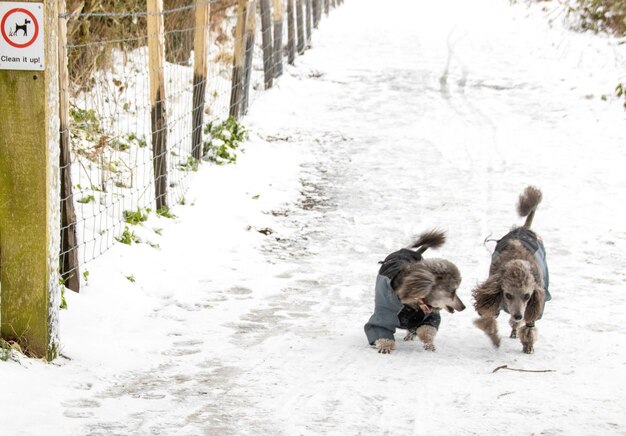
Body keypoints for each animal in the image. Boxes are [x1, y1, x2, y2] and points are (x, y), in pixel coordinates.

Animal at [470, 186, 548, 352]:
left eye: (527, 296)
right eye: (508, 295)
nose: (518, 315)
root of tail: (524, 228)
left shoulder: (534, 302)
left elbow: (529, 324)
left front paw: (528, 345)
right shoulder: (492, 295)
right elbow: (489, 318)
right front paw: (494, 338)